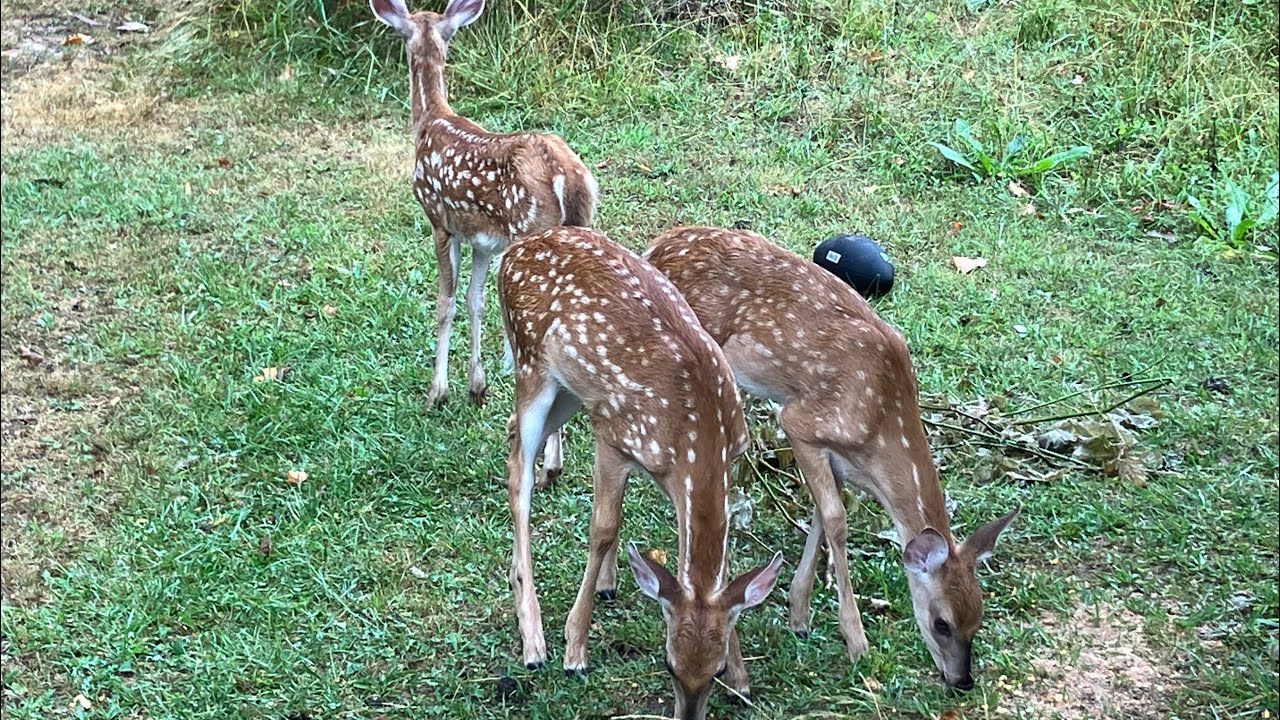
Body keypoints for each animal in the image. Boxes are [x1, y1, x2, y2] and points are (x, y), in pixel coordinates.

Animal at [370, 0, 599, 410]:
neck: (430, 119)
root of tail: (568, 176)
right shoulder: (481, 239)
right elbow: (474, 299)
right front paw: (476, 386)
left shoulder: (439, 220)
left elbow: (445, 301)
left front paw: (438, 392)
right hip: (581, 224)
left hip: (530, 231)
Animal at [497, 226, 784, 720]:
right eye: (668, 664)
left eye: (715, 670)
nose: (687, 716)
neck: (695, 442)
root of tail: (515, 250)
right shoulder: (612, 436)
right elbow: (603, 529)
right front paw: (575, 649)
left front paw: (744, 680)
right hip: (531, 362)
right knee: (520, 472)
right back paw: (533, 640)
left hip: (570, 389)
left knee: (513, 432)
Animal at [644, 226, 1019, 692]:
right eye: (942, 623)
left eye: (979, 619)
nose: (961, 680)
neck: (878, 426)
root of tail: (656, 246)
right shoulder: (801, 421)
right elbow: (838, 520)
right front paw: (855, 639)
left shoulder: (836, 457)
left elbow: (822, 514)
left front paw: (799, 612)